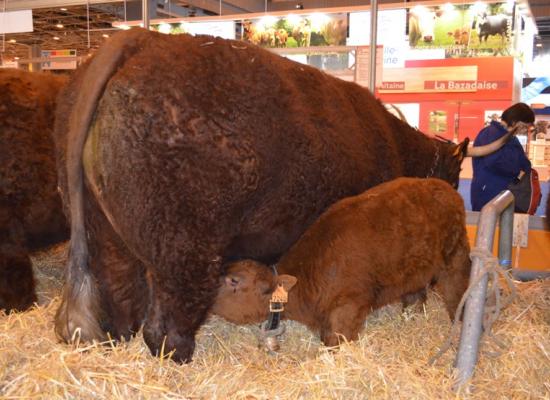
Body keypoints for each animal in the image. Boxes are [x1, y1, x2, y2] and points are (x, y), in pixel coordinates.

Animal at [213, 178, 472, 346]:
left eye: (234, 280)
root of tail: (445, 187)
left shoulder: (349, 307)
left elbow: (335, 343)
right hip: (413, 272)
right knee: (415, 295)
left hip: (455, 260)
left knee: (456, 293)